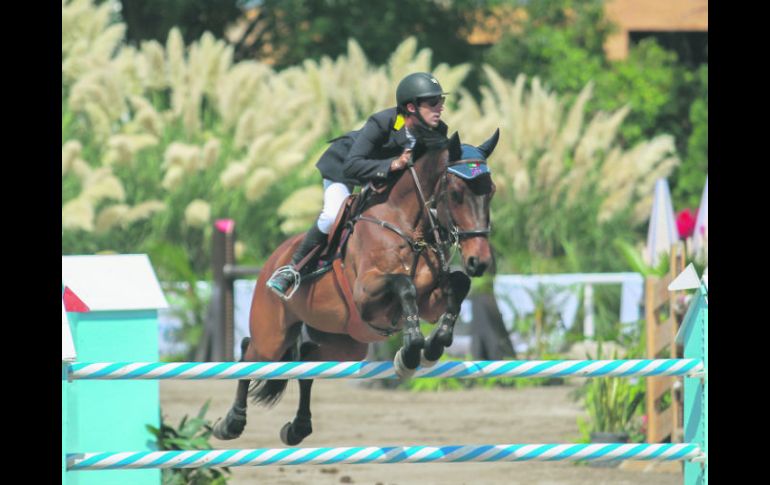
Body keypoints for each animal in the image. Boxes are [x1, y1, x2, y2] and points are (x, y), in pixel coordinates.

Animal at [210, 126, 500, 444]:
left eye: (491, 191)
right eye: (457, 194)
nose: (479, 261)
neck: (408, 227)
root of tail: (273, 260)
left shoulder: (430, 301)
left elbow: (458, 285)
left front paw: (435, 345)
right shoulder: (366, 296)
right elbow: (404, 285)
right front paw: (411, 352)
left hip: (345, 342)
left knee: (308, 360)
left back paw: (298, 428)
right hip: (273, 336)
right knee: (250, 351)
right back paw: (231, 423)